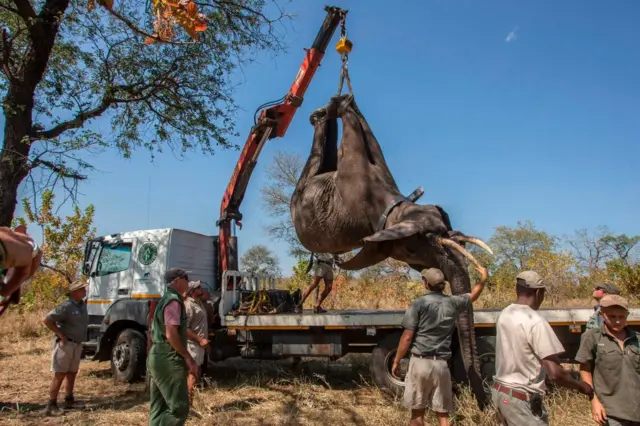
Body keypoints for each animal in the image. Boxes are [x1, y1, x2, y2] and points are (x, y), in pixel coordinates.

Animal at [290, 92, 496, 406]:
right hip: (302, 192)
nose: (483, 397)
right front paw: (342, 102)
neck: (394, 206)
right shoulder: (356, 187)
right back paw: (322, 113)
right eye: (425, 240)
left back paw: (322, 113)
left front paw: (343, 103)